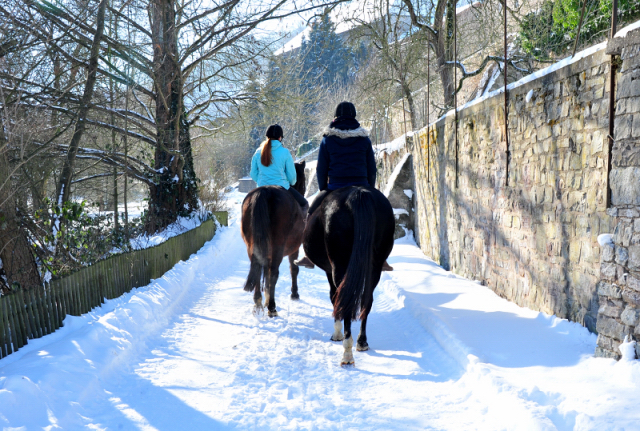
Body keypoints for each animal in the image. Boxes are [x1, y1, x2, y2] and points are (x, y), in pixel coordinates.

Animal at [242, 161, 308, 318]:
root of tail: (264, 192)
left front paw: (265, 297)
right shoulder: (295, 247)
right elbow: (293, 268)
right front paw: (294, 294)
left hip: (252, 245)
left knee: (258, 270)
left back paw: (258, 303)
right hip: (278, 246)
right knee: (273, 272)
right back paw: (272, 307)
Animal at [302, 186, 396, 364]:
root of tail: (358, 194)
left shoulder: (330, 270)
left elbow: (334, 297)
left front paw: (337, 333)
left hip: (340, 264)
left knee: (344, 299)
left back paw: (347, 350)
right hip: (375, 266)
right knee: (367, 299)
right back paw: (361, 341)